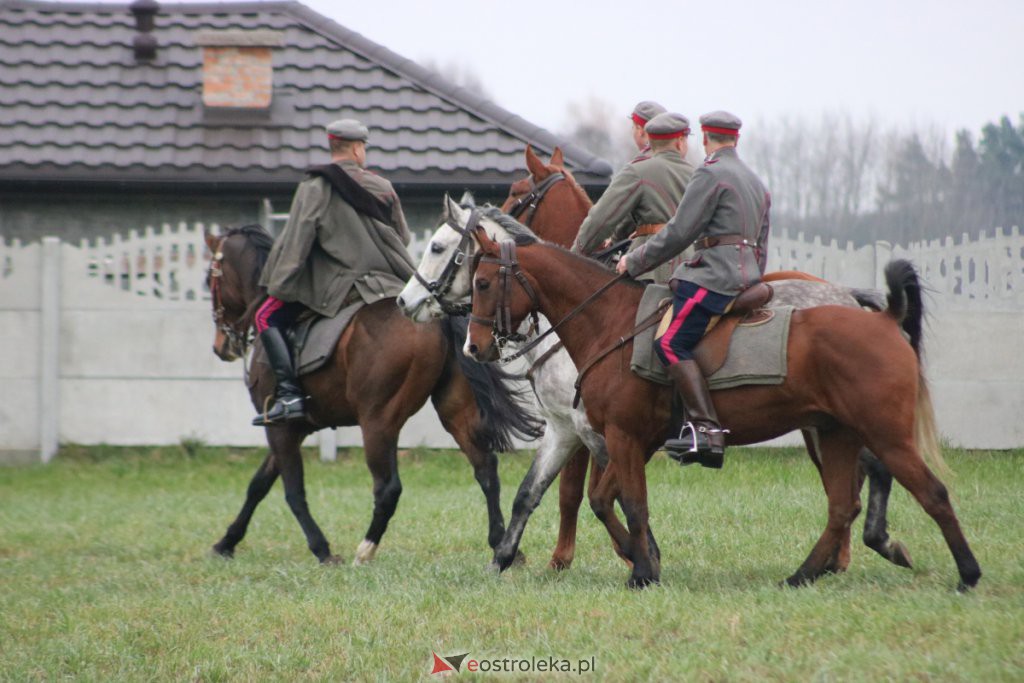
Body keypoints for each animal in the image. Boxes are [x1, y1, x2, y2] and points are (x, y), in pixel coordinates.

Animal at [199, 224, 544, 565]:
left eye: (209, 280)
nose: (219, 347)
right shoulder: (292, 429)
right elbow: (258, 485)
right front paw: (226, 542)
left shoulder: (280, 428)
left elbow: (292, 491)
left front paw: (321, 549)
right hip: (454, 413)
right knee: (485, 469)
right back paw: (501, 543)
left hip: (378, 423)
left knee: (388, 488)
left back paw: (366, 549)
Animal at [466, 229, 983, 593]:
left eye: (483, 282)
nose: (475, 347)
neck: (610, 324)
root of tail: (883, 318)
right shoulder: (612, 438)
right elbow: (591, 497)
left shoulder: (620, 437)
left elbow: (628, 501)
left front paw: (642, 571)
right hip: (835, 433)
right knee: (843, 504)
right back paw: (806, 573)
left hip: (884, 435)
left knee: (928, 493)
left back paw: (965, 573)